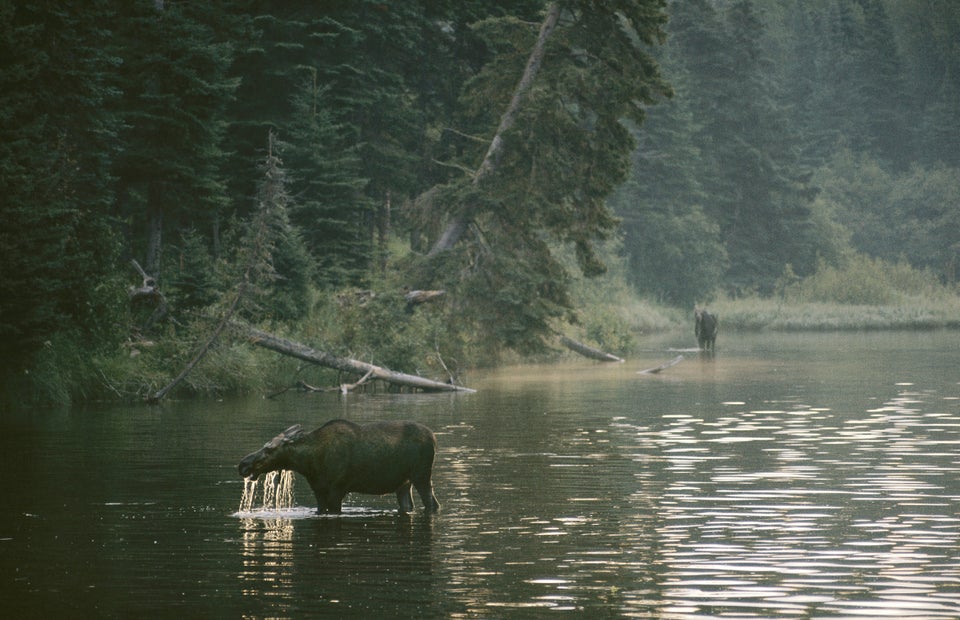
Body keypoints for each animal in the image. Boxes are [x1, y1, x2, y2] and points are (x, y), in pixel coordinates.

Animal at [238, 418, 440, 516]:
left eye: (269, 449)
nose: (243, 464)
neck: (309, 464)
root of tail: (433, 438)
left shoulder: (338, 488)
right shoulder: (319, 491)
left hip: (421, 475)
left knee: (432, 503)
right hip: (403, 483)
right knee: (409, 504)